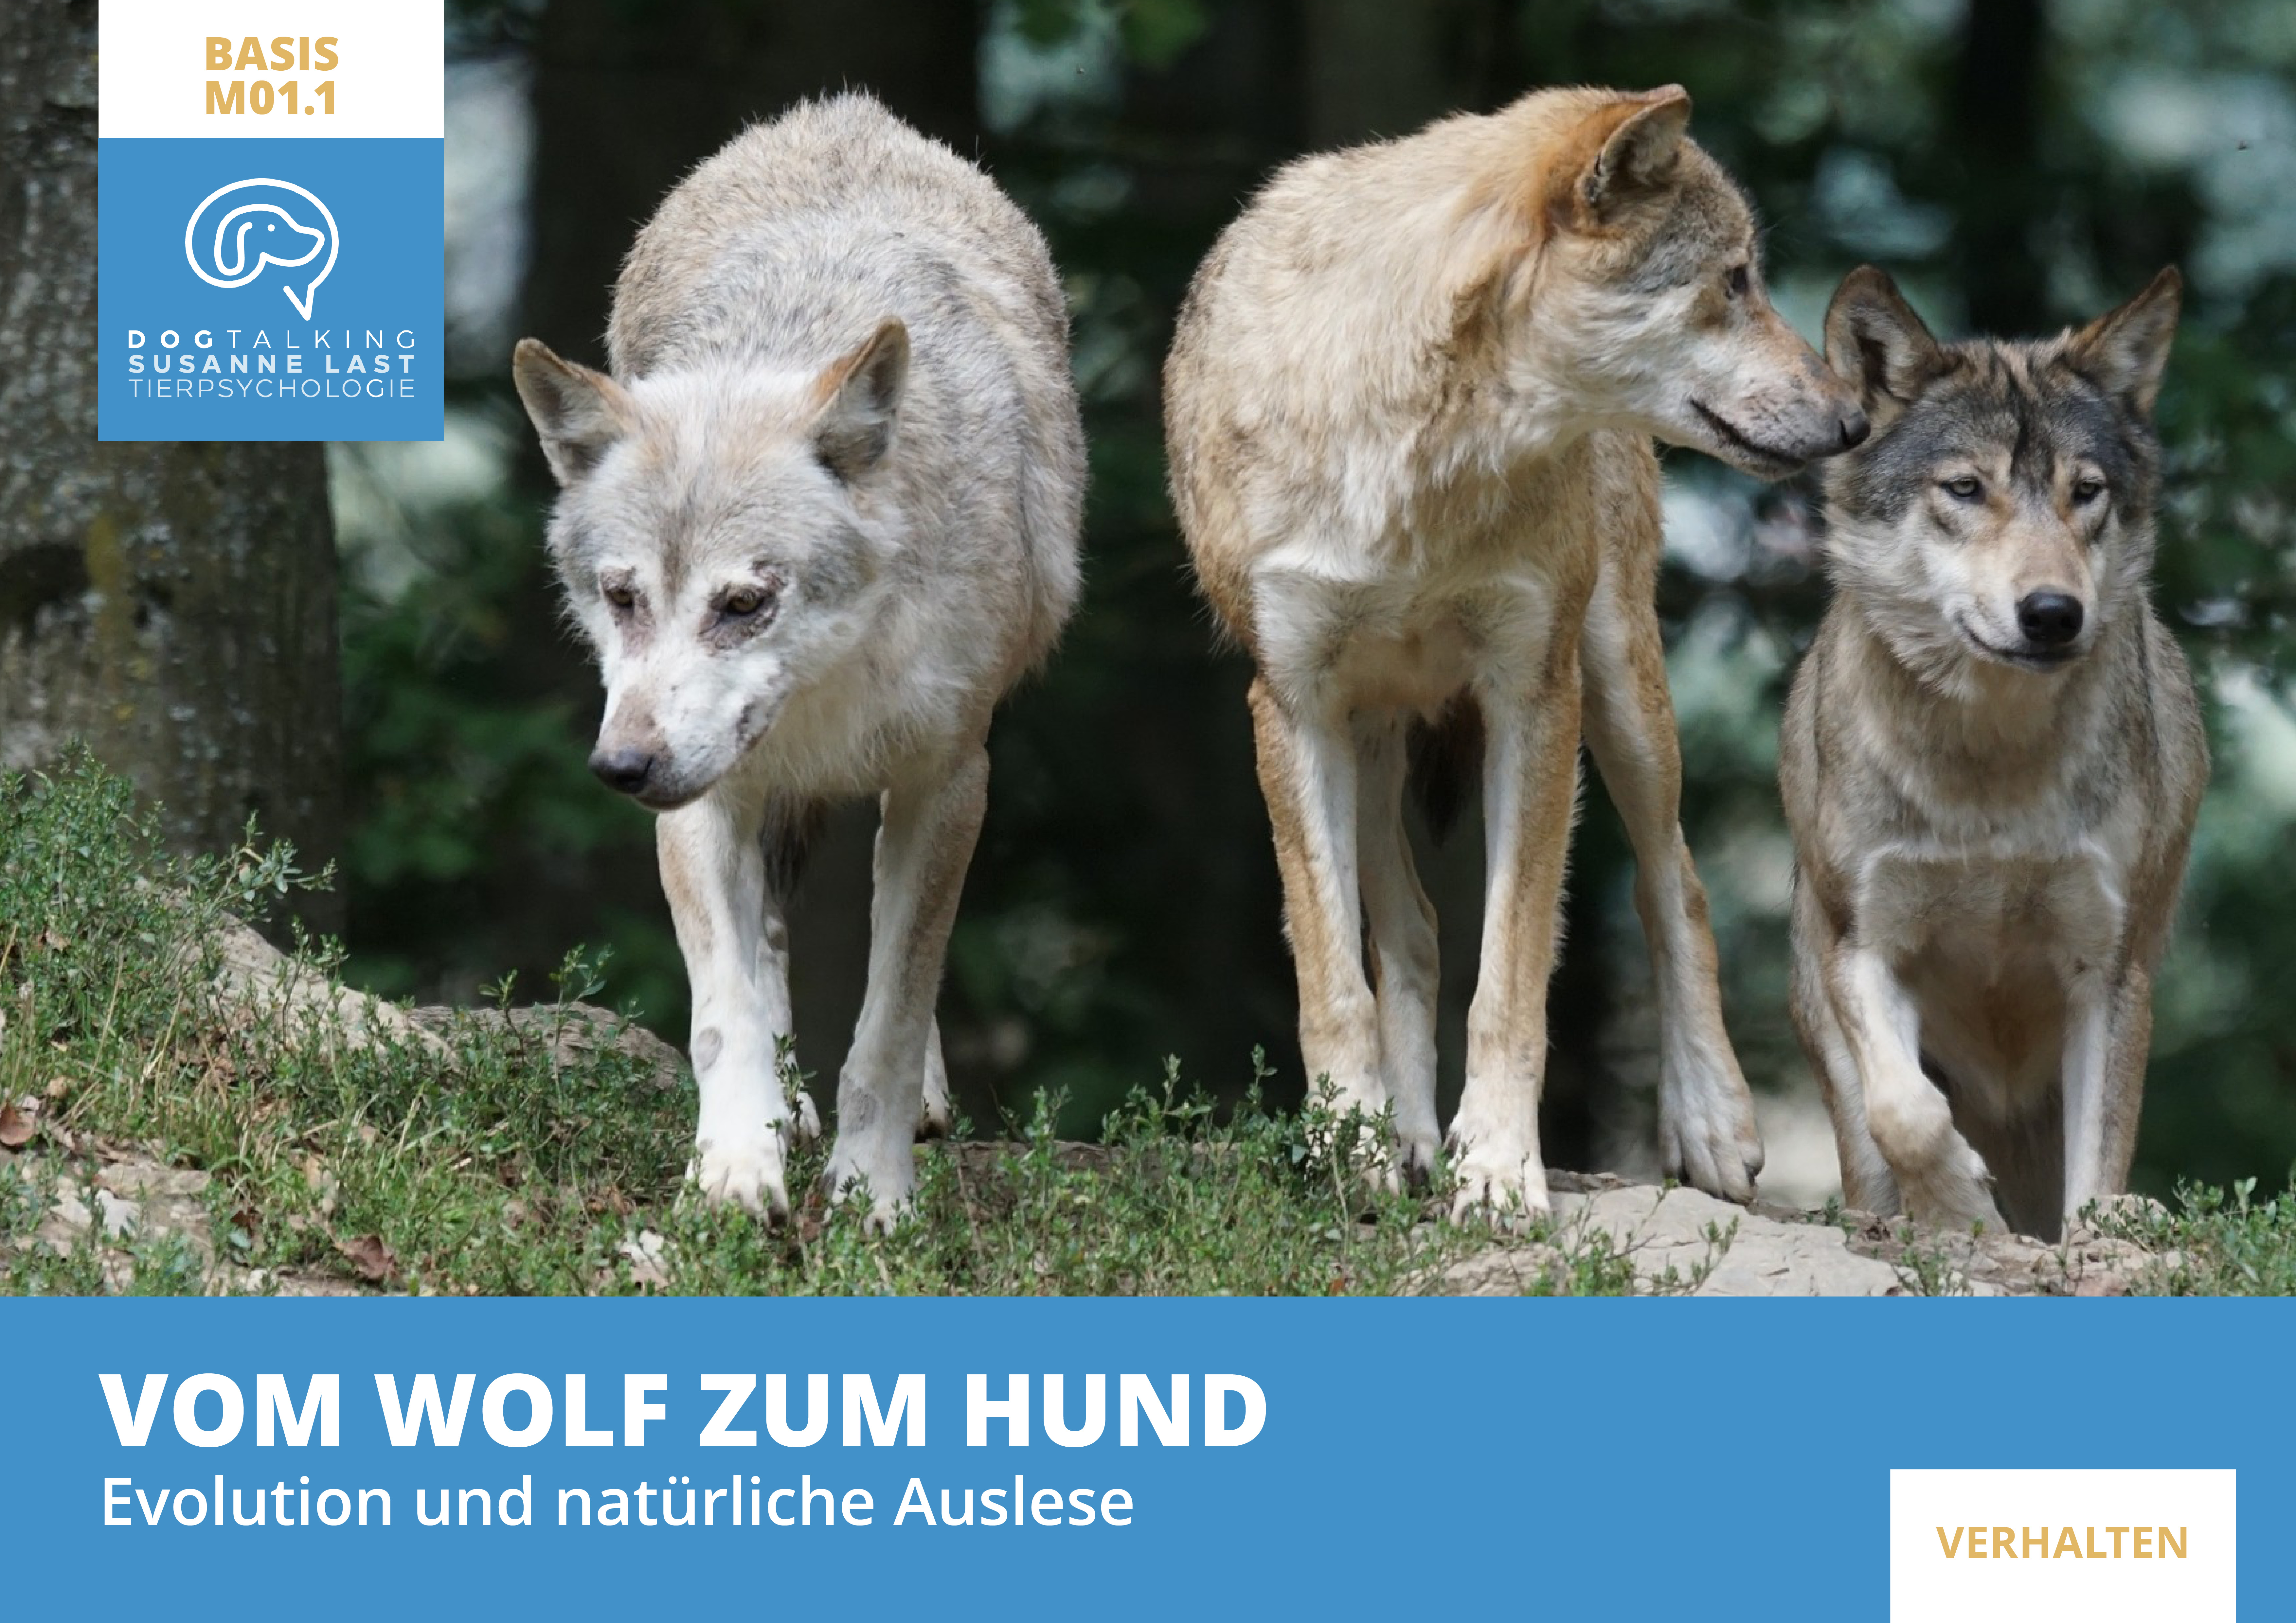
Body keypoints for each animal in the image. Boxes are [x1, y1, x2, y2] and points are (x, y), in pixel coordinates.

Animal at [512, 93, 1084, 1226]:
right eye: (624, 598)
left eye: (744, 604)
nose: (621, 769)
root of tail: (838, 112)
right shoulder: (703, 798)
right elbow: (725, 1010)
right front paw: (736, 1168)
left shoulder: (949, 780)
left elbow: (891, 1017)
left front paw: (873, 1193)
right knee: (770, 942)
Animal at [1165, 85, 1868, 1219]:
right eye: (1733, 281)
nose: (1854, 420)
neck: (1421, 458)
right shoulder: (1292, 706)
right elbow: (1332, 977)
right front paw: (1354, 1148)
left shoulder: (1533, 697)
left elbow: (1511, 977)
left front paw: (1495, 1169)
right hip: (1369, 736)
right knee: (1408, 931)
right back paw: (1404, 1139)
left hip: (1621, 691)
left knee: (1675, 883)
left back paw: (1710, 1124)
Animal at [1781, 265, 2204, 1239]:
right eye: (1966, 489)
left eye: (2086, 491)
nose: (2052, 614)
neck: (1989, 772)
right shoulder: (1866, 943)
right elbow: (1904, 1111)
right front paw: (1959, 1206)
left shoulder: (2107, 972)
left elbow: (2099, 1175)